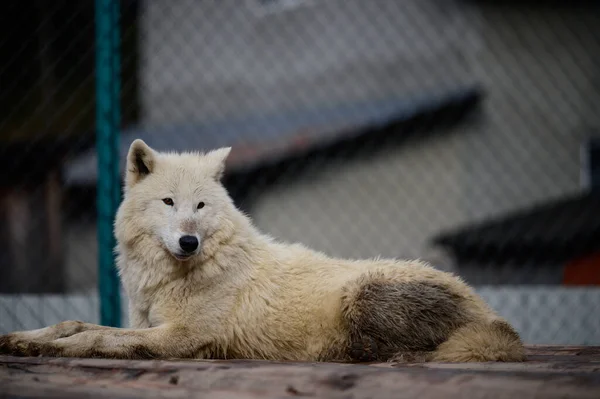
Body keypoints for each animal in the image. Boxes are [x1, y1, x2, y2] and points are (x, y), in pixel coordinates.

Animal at [0, 139, 524, 364]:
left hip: (360, 294)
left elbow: (97, 339)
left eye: (201, 206)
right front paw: (24, 339)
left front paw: (53, 348)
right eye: (169, 203)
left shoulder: (180, 337)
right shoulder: (146, 322)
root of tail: (498, 320)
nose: (189, 241)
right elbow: (76, 322)